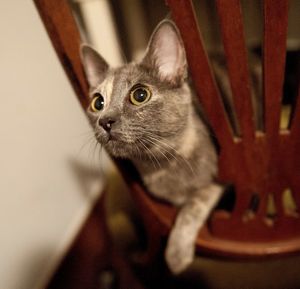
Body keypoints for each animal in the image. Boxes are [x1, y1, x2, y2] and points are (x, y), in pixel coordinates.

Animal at [79, 19, 223, 272]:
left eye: (140, 95)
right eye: (98, 102)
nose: (105, 120)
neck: (161, 166)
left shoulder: (222, 184)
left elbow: (195, 201)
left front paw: (175, 256)